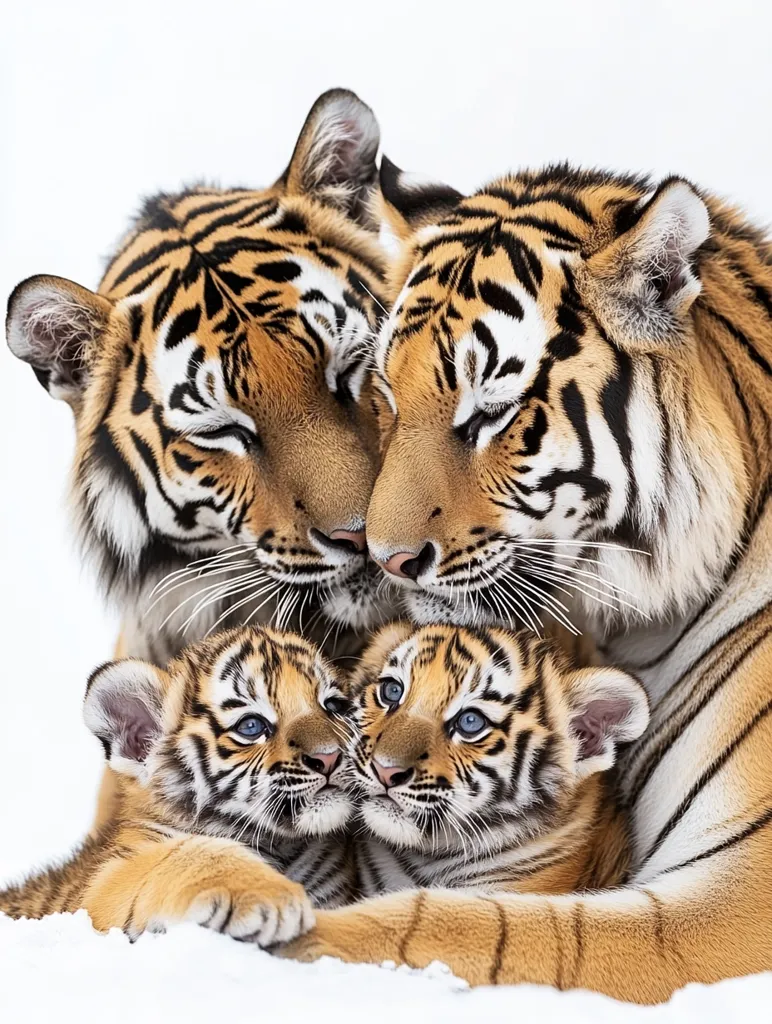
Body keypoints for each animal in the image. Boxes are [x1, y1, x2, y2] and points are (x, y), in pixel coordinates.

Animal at [0, 626, 356, 941]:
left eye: (333, 707)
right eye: (251, 726)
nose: (330, 757)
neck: (283, 848)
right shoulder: (104, 884)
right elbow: (187, 853)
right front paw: (271, 896)